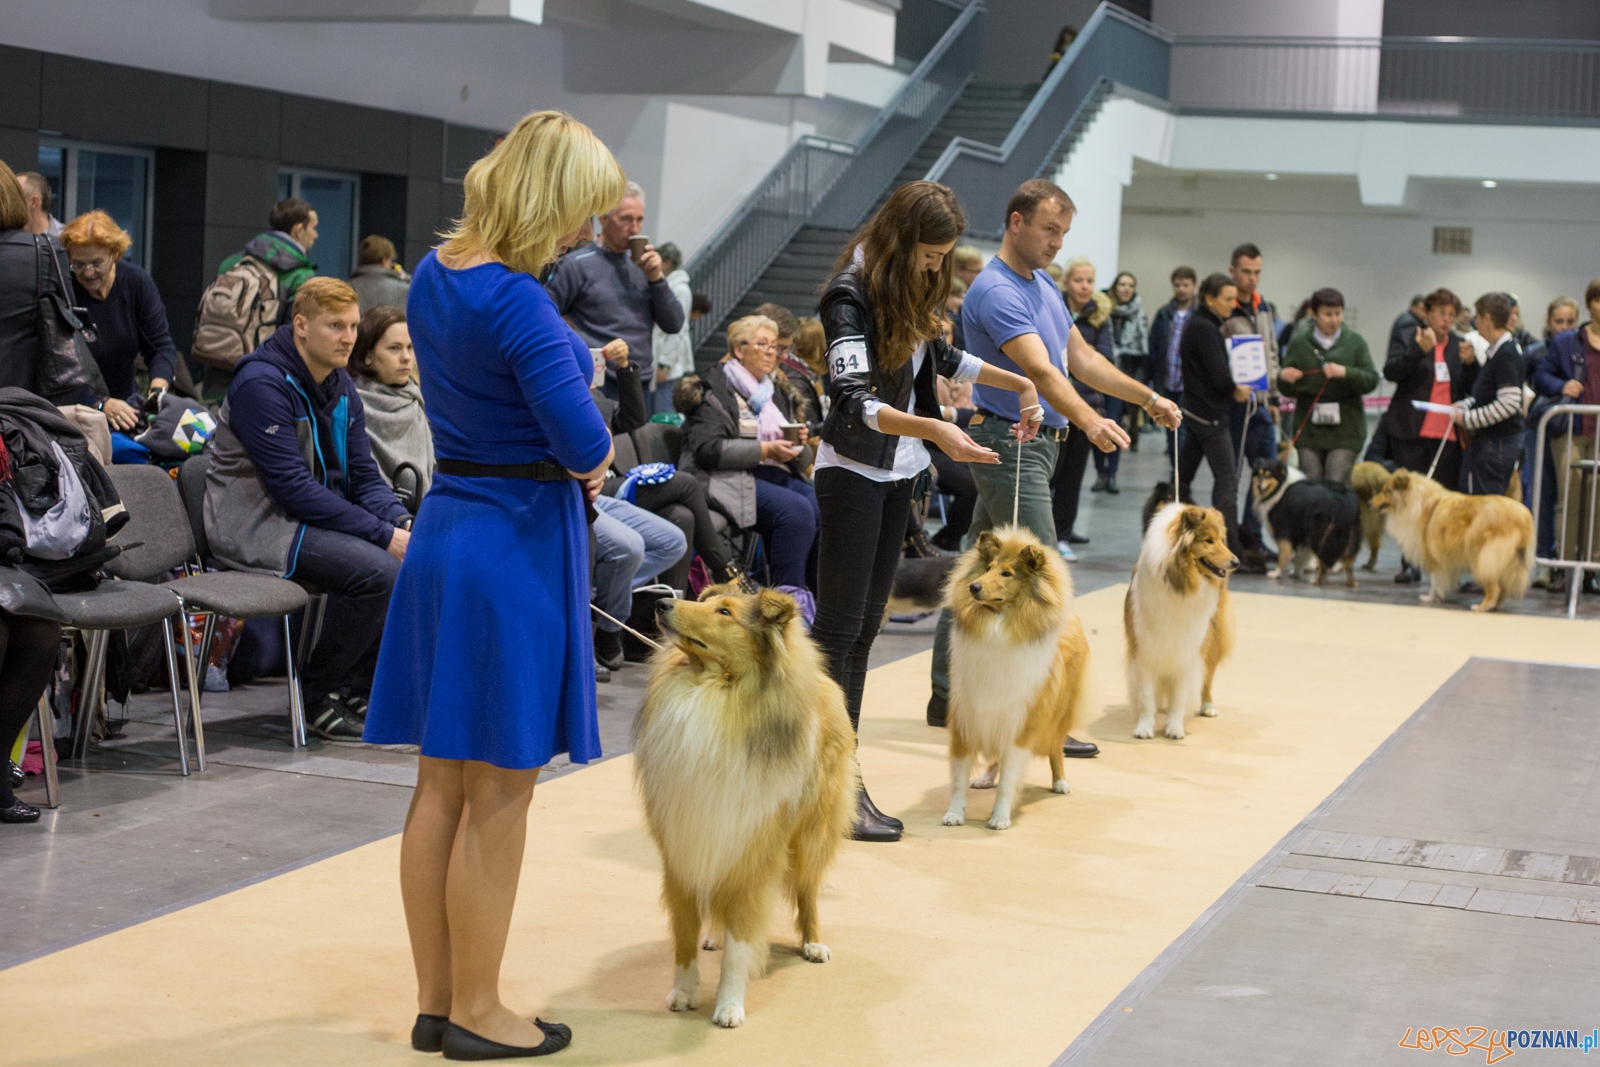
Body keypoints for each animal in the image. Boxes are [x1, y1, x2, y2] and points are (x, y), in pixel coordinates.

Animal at [636, 588, 864, 1030]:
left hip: (811, 834)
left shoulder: (754, 850)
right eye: (707, 602)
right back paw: (714, 934)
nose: (660, 604)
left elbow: (741, 943)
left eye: (725, 612)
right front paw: (684, 992)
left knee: (807, 890)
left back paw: (814, 942)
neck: (713, 692)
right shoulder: (683, 846)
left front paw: (729, 1006)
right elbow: (684, 931)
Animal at [934, 531, 1088, 831]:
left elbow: (1008, 779)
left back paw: (1060, 782)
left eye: (1007, 573)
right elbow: (959, 778)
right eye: (988, 567)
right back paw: (985, 779)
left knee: (1056, 749)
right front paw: (954, 814)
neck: (999, 622)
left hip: (1057, 715)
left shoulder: (1021, 723)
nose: (973, 587)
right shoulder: (967, 718)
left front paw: (999, 818)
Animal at [1126, 502, 1235, 739]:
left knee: (1207, 679)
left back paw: (1208, 706)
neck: (1181, 585)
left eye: (1222, 539)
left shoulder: (1188, 650)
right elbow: (1146, 696)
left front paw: (1175, 728)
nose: (1236, 562)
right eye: (1208, 540)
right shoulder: (1144, 648)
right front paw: (1144, 728)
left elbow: (1179, 696)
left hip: (1212, 640)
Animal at [1254, 460, 1356, 588]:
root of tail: (1341, 499)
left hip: (1321, 535)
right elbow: (1300, 556)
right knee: (1348, 563)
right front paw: (1296, 573)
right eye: (1259, 474)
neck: (1281, 487)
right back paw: (1351, 582)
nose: (1258, 486)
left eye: (1269, 475)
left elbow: (1283, 555)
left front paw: (1276, 573)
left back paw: (1318, 580)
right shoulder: (1301, 535)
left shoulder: (1284, 531)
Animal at [1369, 470, 1529, 614]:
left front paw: (1429, 598)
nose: (1370, 503)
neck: (1415, 502)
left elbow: (1435, 580)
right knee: (1503, 588)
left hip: (1485, 557)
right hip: (1506, 561)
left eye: (1386, 491)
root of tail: (1523, 516)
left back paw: (1482, 607)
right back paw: (1495, 606)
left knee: (1495, 587)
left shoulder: (1434, 555)